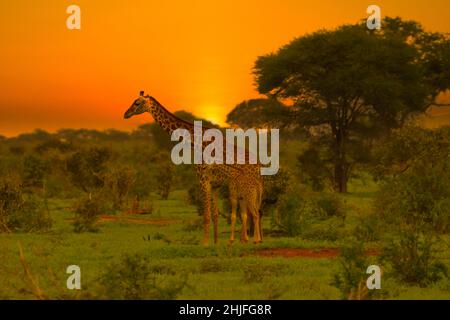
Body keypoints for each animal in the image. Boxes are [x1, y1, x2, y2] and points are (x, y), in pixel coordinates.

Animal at [123, 90, 264, 245]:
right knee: (252, 212)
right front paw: (215, 243)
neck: (195, 142)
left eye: (137, 103)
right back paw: (248, 239)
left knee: (255, 212)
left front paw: (205, 243)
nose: (126, 114)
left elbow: (206, 215)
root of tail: (259, 166)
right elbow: (215, 215)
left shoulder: (203, 180)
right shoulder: (214, 184)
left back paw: (254, 239)